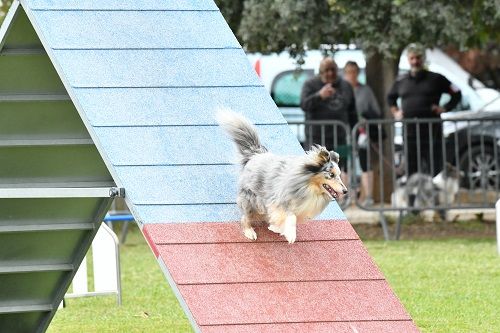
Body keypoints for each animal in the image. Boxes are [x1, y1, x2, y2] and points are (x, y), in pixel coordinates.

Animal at [215, 110, 348, 243]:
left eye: (339, 175)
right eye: (331, 174)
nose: (345, 191)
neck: (308, 186)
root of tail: (255, 154)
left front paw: (276, 228)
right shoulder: (279, 201)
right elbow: (290, 217)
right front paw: (290, 235)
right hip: (252, 199)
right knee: (245, 217)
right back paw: (250, 232)